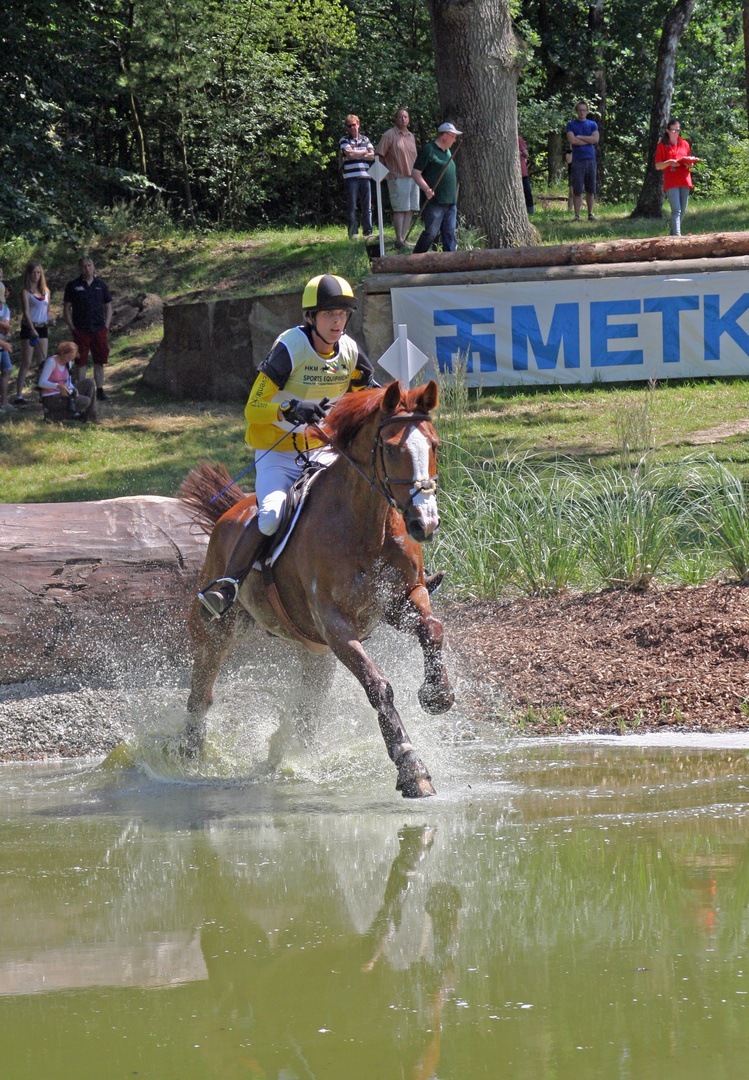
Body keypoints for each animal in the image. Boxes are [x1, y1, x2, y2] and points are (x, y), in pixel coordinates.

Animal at [179, 378, 455, 794]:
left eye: (434, 445)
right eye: (391, 449)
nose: (425, 523)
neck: (366, 526)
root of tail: (230, 511)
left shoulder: (400, 600)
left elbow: (432, 629)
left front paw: (438, 694)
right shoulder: (334, 623)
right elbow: (378, 686)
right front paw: (411, 768)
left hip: (315, 652)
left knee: (307, 708)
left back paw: (296, 758)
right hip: (220, 630)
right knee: (201, 693)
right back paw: (188, 756)